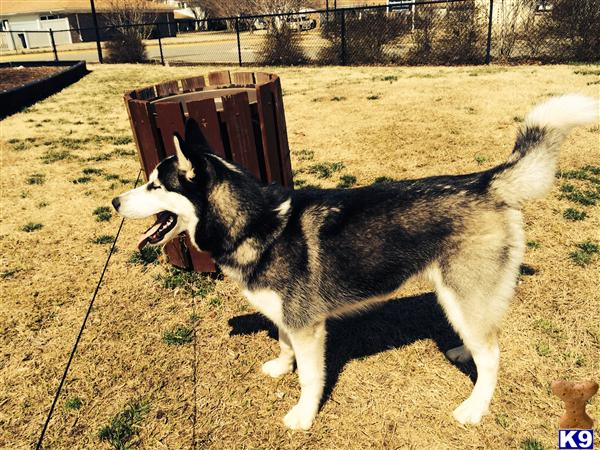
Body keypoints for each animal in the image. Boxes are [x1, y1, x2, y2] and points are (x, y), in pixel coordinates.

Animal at [111, 94, 596, 428]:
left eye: (155, 186)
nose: (115, 202)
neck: (256, 223)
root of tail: (485, 181)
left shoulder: (309, 327)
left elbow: (310, 377)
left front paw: (303, 416)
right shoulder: (289, 318)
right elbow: (283, 343)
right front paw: (280, 367)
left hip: (465, 294)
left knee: (493, 353)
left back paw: (475, 406)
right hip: (456, 297)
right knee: (481, 341)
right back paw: (462, 351)